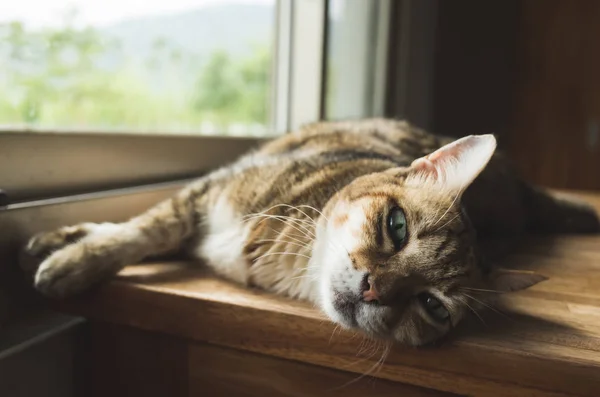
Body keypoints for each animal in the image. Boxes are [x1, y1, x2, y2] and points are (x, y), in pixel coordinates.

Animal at [25, 118, 596, 346]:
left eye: (433, 306)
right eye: (396, 226)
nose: (374, 289)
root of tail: (516, 186)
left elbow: (146, 229)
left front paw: (74, 256)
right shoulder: (208, 191)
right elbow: (144, 230)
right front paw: (75, 262)